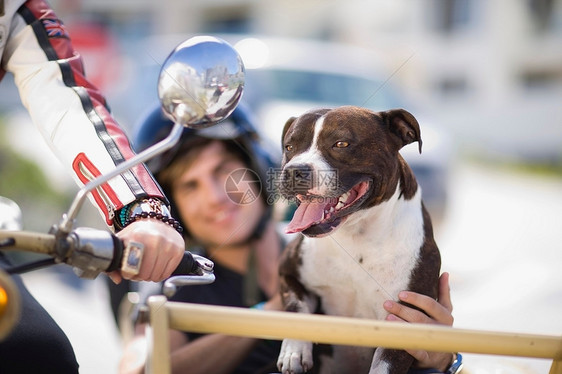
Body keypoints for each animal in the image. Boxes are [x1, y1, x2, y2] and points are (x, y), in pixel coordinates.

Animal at [274, 105, 440, 374]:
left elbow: (384, 366)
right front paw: (295, 350)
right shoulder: (287, 273)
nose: (293, 170)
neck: (356, 235)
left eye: (341, 143)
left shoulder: (404, 319)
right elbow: (296, 305)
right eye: (289, 147)